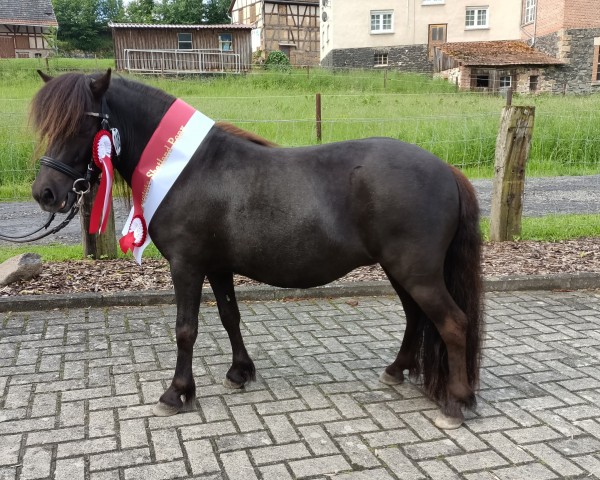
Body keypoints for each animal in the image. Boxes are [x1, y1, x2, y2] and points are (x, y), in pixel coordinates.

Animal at [30, 69, 486, 430]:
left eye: (82, 125)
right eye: (49, 126)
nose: (45, 194)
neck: (186, 168)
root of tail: (446, 169)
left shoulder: (187, 265)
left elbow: (185, 329)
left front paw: (176, 393)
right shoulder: (217, 266)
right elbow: (230, 317)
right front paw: (240, 372)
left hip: (416, 272)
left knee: (453, 324)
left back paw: (456, 403)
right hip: (401, 271)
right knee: (416, 317)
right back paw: (397, 371)